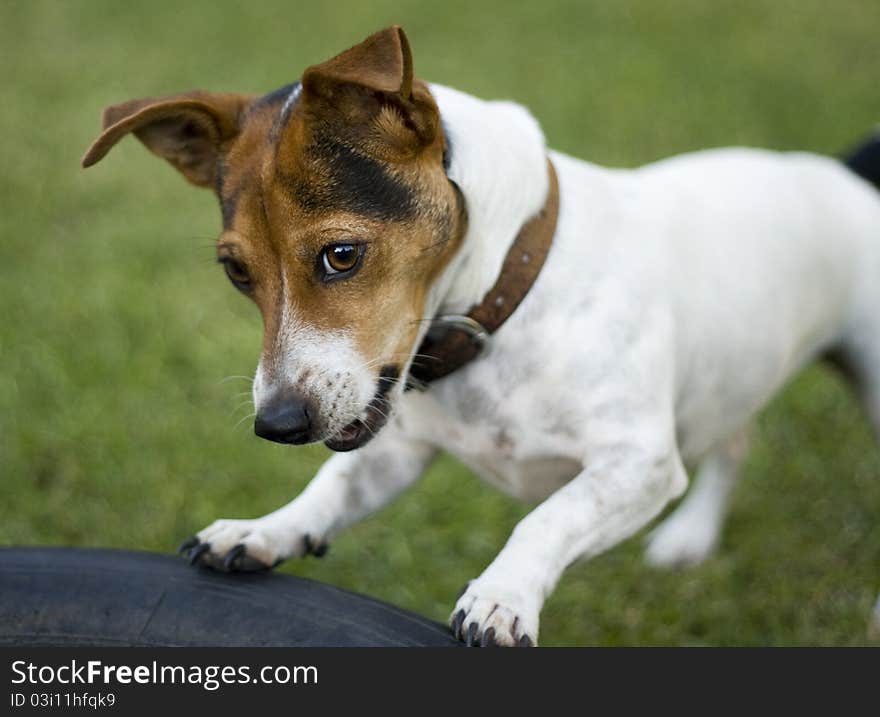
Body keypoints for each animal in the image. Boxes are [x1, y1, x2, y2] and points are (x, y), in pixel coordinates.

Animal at [82, 26, 880, 644]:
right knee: (736, 439)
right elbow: (331, 486)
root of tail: (844, 176)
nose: (277, 425)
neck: (508, 298)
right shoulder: (392, 450)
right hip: (727, 378)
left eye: (341, 254)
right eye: (236, 272)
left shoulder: (639, 464)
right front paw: (265, 528)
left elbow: (549, 518)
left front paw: (502, 595)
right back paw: (690, 538)